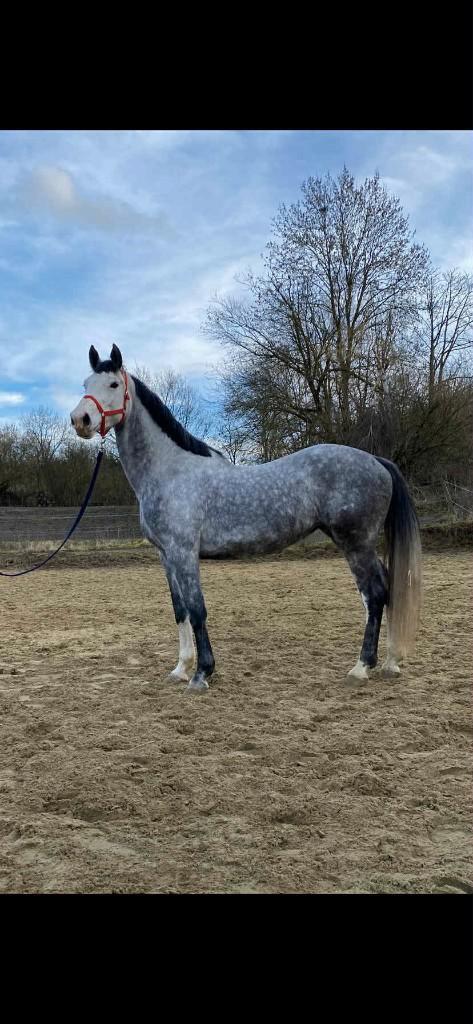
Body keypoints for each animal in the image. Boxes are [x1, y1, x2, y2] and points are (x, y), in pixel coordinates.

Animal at [71, 344, 422, 693]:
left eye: (113, 384)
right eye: (86, 383)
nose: (80, 419)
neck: (171, 471)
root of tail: (376, 460)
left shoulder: (184, 552)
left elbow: (197, 610)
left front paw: (202, 674)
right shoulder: (166, 555)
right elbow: (180, 610)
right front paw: (181, 668)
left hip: (356, 543)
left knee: (374, 594)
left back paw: (362, 667)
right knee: (387, 589)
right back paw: (390, 662)